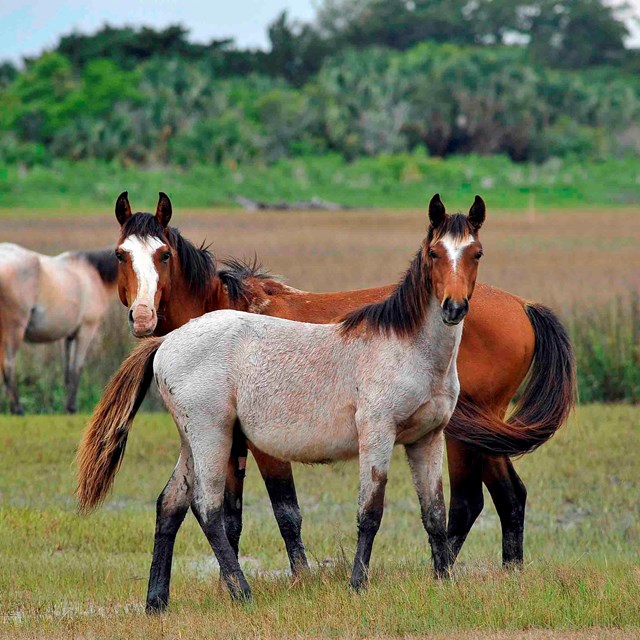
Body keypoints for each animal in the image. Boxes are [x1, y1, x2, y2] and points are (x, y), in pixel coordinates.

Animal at [0, 242, 119, 412]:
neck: (95, 273)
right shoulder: (86, 330)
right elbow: (77, 368)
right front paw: (72, 408)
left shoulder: (68, 337)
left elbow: (68, 371)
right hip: (14, 330)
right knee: (8, 365)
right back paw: (17, 409)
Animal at [79, 194, 576, 608]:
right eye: (121, 255)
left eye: (476, 253)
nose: (454, 307)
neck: (406, 345)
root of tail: (168, 342)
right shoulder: (367, 435)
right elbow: (350, 512)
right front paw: (348, 584)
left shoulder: (427, 437)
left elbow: (431, 511)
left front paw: (442, 581)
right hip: (208, 436)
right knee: (205, 507)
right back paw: (239, 593)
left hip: (201, 440)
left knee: (174, 504)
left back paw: (159, 601)